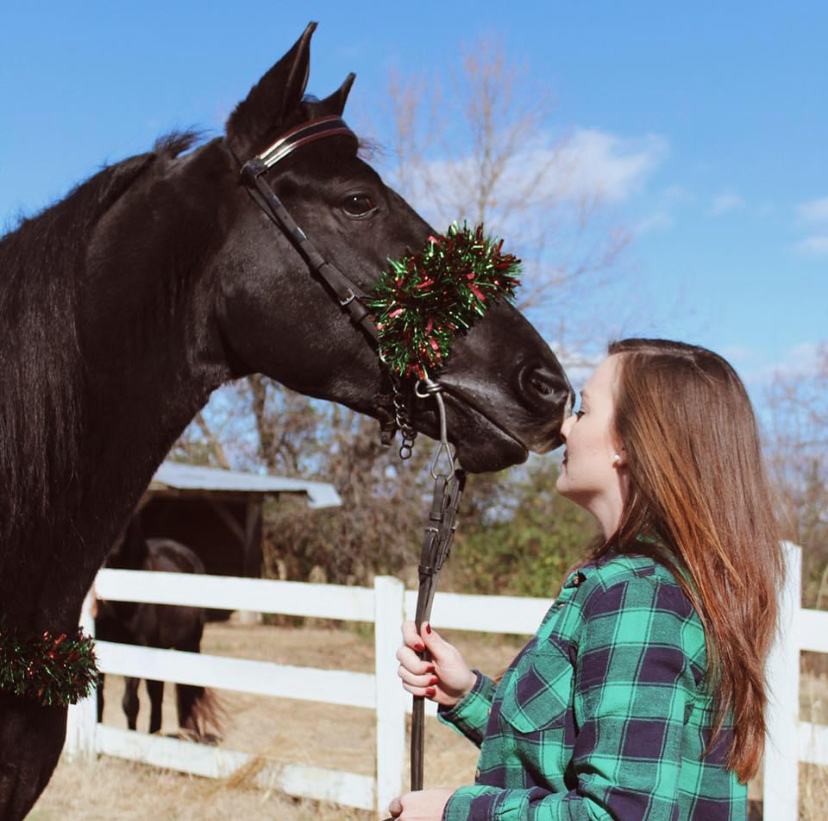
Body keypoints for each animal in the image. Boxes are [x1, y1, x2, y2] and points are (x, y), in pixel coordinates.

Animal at [96, 523, 222, 743]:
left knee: (187, 689)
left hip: (189, 644)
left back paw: (190, 734)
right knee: (157, 692)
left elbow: (130, 703)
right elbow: (100, 701)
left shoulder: (136, 650)